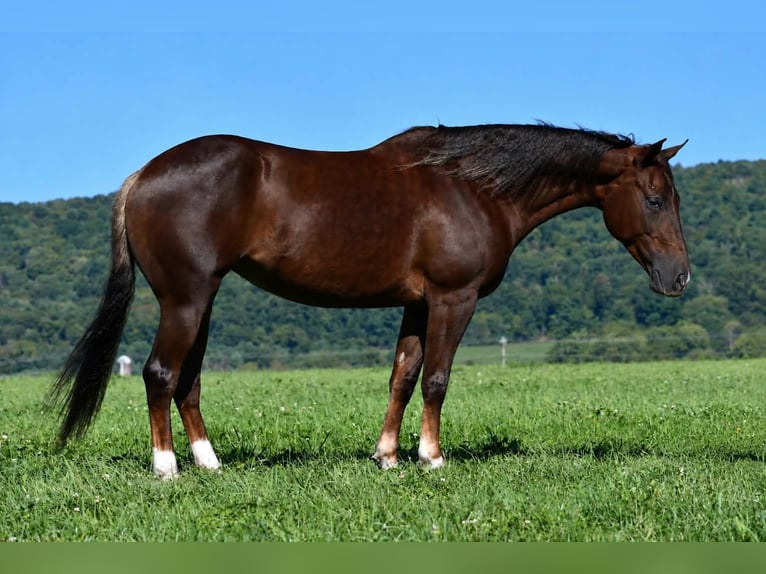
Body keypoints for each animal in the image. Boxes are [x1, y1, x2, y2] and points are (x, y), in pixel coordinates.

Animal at [48, 123, 690, 478]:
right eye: (654, 198)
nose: (679, 277)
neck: (472, 187)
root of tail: (143, 176)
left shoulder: (418, 304)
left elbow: (402, 376)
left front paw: (388, 457)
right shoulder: (453, 300)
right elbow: (436, 379)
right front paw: (431, 458)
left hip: (202, 301)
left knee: (188, 381)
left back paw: (210, 462)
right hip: (184, 299)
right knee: (160, 373)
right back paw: (167, 468)